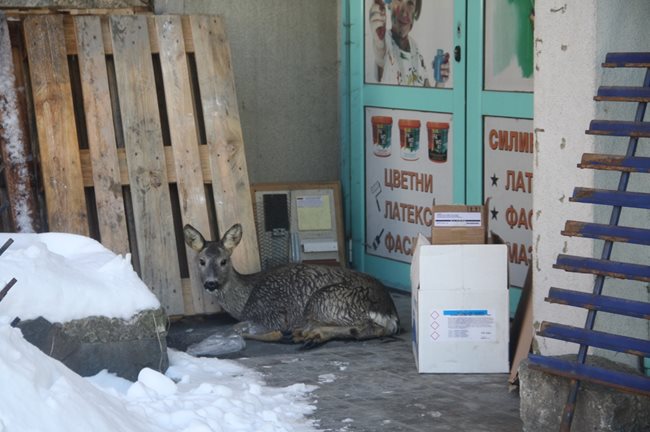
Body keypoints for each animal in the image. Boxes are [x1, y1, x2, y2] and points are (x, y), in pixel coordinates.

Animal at [180, 223, 398, 348]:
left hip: (326, 300)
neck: (245, 300)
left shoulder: (272, 313)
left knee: (368, 328)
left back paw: (304, 335)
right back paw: (307, 335)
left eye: (224, 261)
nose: (211, 283)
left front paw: (279, 334)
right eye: (201, 261)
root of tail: (389, 310)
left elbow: (237, 328)